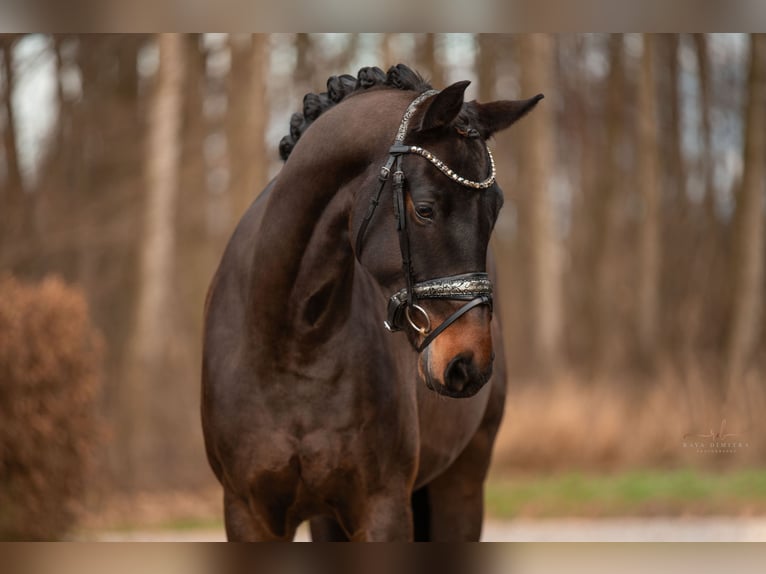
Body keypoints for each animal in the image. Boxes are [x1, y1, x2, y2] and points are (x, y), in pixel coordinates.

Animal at [201, 65, 544, 544]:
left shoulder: (382, 509)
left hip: (461, 483)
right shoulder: (247, 513)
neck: (291, 343)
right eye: (424, 209)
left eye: (495, 210)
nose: (467, 362)